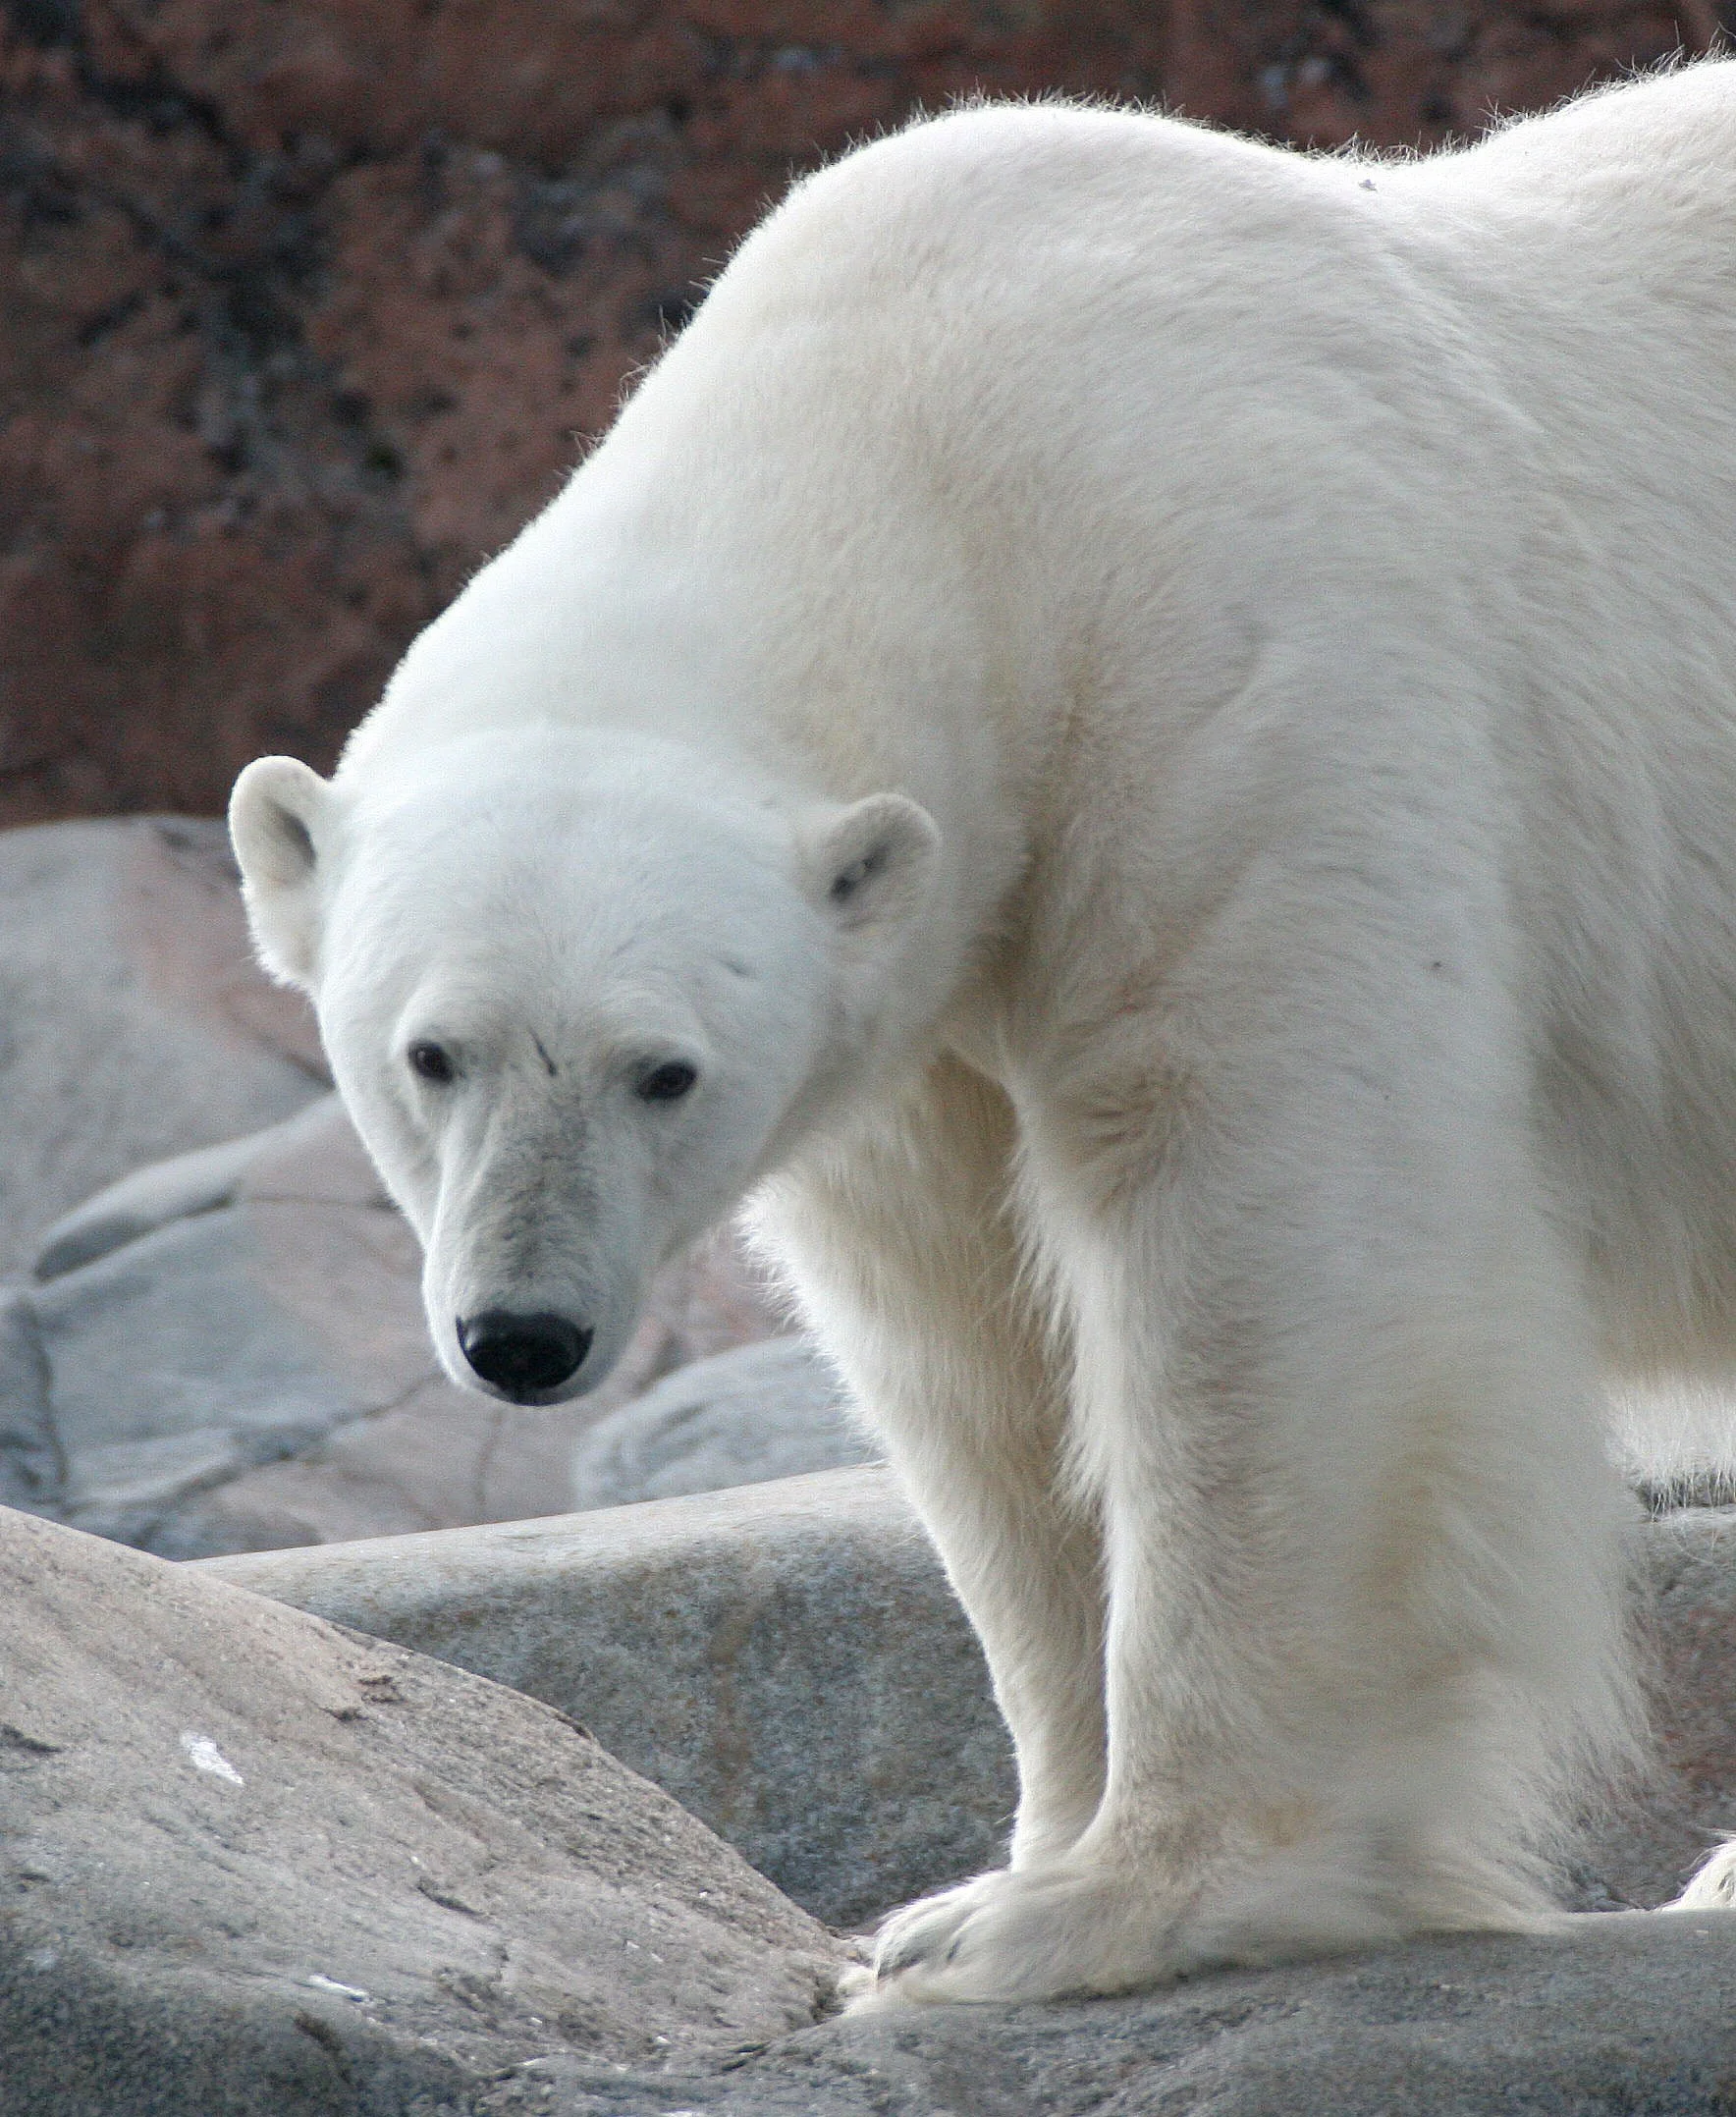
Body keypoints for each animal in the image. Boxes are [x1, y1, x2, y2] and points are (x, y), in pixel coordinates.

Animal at [230, 63, 1736, 2003]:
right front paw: (975, 1885)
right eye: (430, 1055)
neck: (947, 440)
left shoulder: (1260, 679)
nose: (524, 1337)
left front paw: (1115, 1905)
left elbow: (1270, 1244)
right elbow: (969, 1341)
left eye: (665, 1071)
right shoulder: (929, 980)